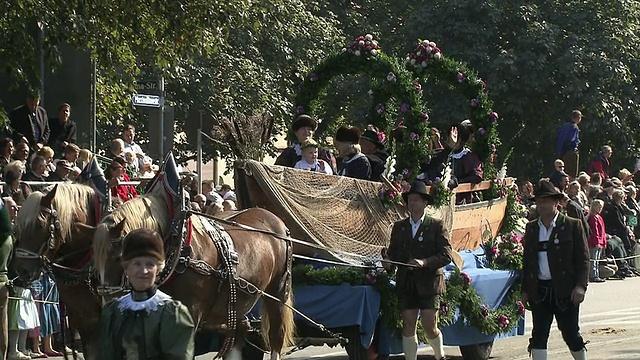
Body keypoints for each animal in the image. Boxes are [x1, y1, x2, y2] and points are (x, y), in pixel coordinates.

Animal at [91, 194, 296, 360]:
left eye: (119, 257)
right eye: (95, 261)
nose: (107, 301)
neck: (178, 248)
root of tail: (277, 220)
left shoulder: (192, 313)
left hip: (277, 292)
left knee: (276, 336)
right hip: (235, 302)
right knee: (238, 332)